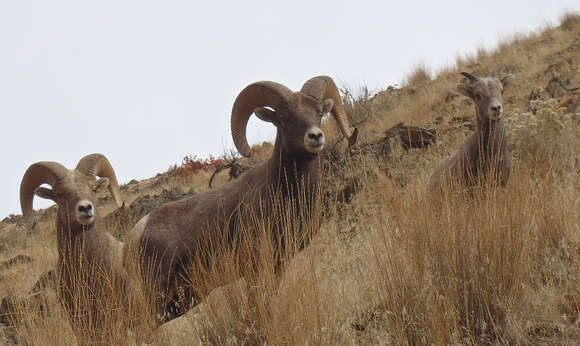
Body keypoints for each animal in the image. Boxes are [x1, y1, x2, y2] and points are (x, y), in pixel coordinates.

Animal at [124, 75, 356, 322]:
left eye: (319, 112)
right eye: (285, 118)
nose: (315, 136)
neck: (284, 192)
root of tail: (136, 234)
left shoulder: (279, 263)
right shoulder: (255, 267)